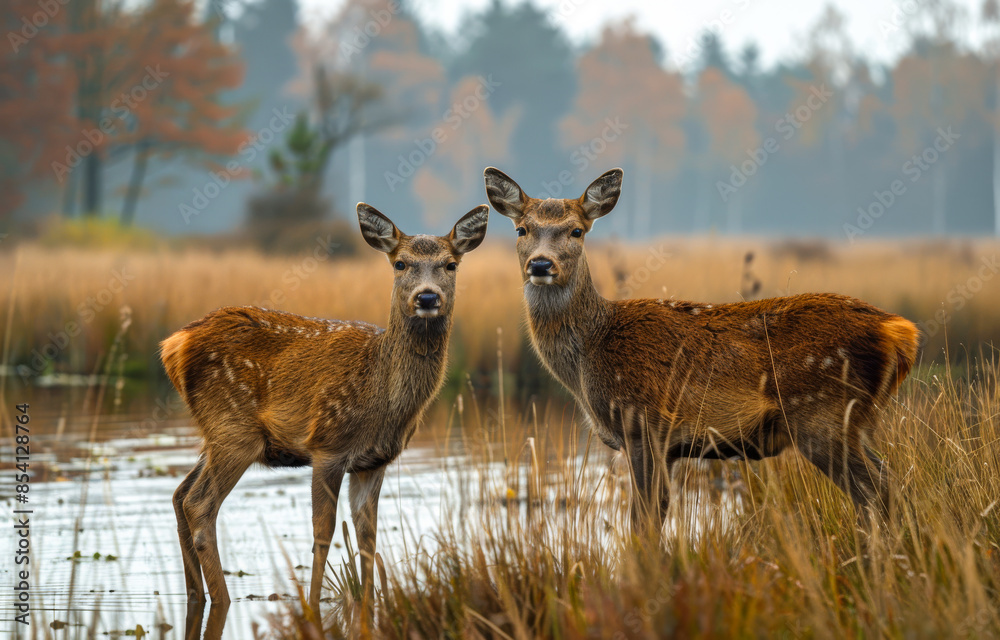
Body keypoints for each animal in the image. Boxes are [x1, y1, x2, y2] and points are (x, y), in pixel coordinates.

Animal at [160, 202, 489, 617]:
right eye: (400, 263)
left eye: (451, 264)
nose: (427, 298)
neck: (382, 394)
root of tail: (174, 344)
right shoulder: (328, 445)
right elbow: (323, 532)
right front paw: (313, 604)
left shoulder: (373, 461)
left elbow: (367, 535)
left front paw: (368, 603)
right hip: (233, 428)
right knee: (199, 503)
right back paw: (223, 598)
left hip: (216, 433)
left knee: (178, 494)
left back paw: (196, 595)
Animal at [483, 166, 919, 537]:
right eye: (521, 229)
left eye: (576, 231)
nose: (541, 264)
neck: (592, 352)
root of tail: (900, 331)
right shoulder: (663, 445)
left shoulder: (644, 423)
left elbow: (645, 521)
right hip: (850, 421)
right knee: (887, 484)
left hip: (822, 414)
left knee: (878, 490)